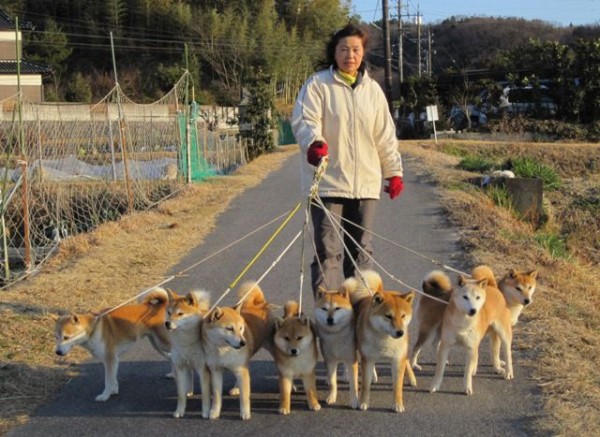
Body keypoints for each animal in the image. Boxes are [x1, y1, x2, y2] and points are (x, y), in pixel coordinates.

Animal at [164, 288, 211, 418]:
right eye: (169, 312)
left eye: (180, 314)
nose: (167, 323)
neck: (186, 342)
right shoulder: (180, 367)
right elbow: (180, 394)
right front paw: (179, 411)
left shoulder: (203, 369)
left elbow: (205, 394)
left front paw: (205, 411)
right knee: (189, 375)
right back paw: (189, 390)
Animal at [203, 280, 276, 418]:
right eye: (229, 328)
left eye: (241, 328)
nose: (243, 343)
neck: (223, 351)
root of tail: (259, 304)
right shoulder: (216, 371)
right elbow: (217, 396)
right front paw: (214, 412)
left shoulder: (241, 370)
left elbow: (244, 397)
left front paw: (245, 413)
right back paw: (236, 388)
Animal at [350, 270, 414, 412]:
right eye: (388, 316)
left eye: (403, 316)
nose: (400, 332)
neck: (385, 341)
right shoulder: (367, 358)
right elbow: (365, 385)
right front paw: (363, 403)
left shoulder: (398, 360)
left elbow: (397, 386)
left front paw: (398, 404)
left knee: (407, 361)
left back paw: (412, 378)